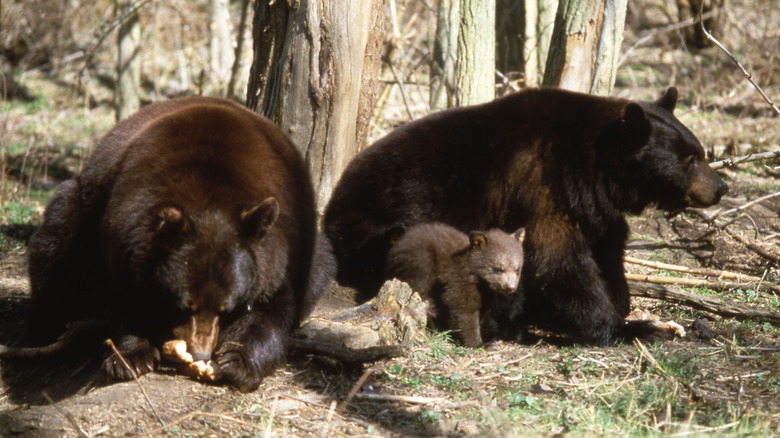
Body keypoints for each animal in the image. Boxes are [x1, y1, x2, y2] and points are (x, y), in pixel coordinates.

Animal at [25, 96, 322, 394]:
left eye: (226, 309)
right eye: (185, 306)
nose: (201, 353)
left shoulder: (282, 250)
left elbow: (273, 309)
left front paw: (238, 361)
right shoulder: (125, 230)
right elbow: (126, 297)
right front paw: (131, 356)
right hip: (80, 212)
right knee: (57, 243)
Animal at [384, 224, 524, 348]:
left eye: (517, 269)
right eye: (498, 269)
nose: (510, 287)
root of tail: (398, 245)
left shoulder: (485, 293)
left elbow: (480, 311)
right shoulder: (459, 279)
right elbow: (463, 309)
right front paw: (479, 343)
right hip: (420, 256)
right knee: (418, 282)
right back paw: (431, 308)